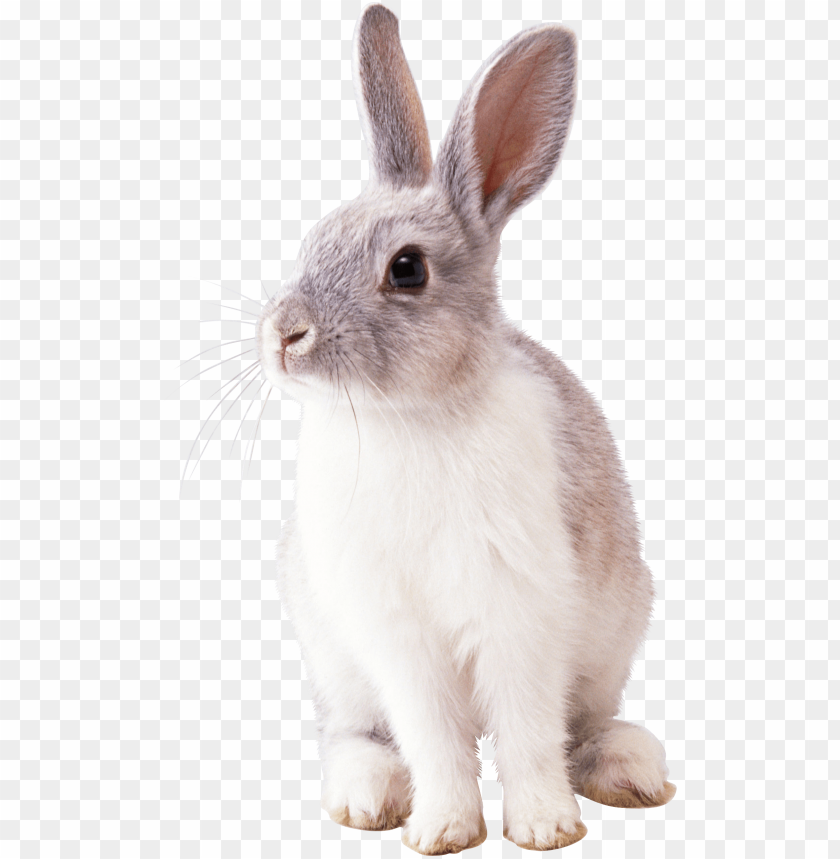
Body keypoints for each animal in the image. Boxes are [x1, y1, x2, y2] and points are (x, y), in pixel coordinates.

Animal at [256, 5, 676, 852]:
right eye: (313, 240)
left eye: (407, 268)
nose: (283, 334)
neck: (411, 416)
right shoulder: (398, 635)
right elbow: (434, 736)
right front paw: (444, 829)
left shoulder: (520, 613)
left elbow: (526, 730)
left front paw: (545, 826)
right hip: (336, 658)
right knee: (357, 733)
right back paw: (366, 797)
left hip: (611, 642)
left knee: (583, 723)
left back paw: (631, 771)